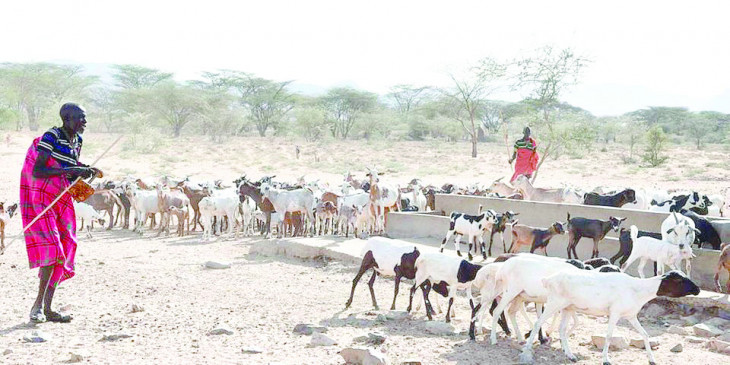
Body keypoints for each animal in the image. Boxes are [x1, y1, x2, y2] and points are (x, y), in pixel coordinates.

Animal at [516, 268, 700, 362]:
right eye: (679, 280)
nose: (698, 289)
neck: (639, 290)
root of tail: (548, 279)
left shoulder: (631, 315)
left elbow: (645, 334)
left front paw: (652, 359)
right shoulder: (615, 313)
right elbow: (609, 336)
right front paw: (605, 359)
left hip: (567, 308)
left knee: (561, 330)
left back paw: (570, 355)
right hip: (555, 303)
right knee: (538, 323)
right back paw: (526, 350)